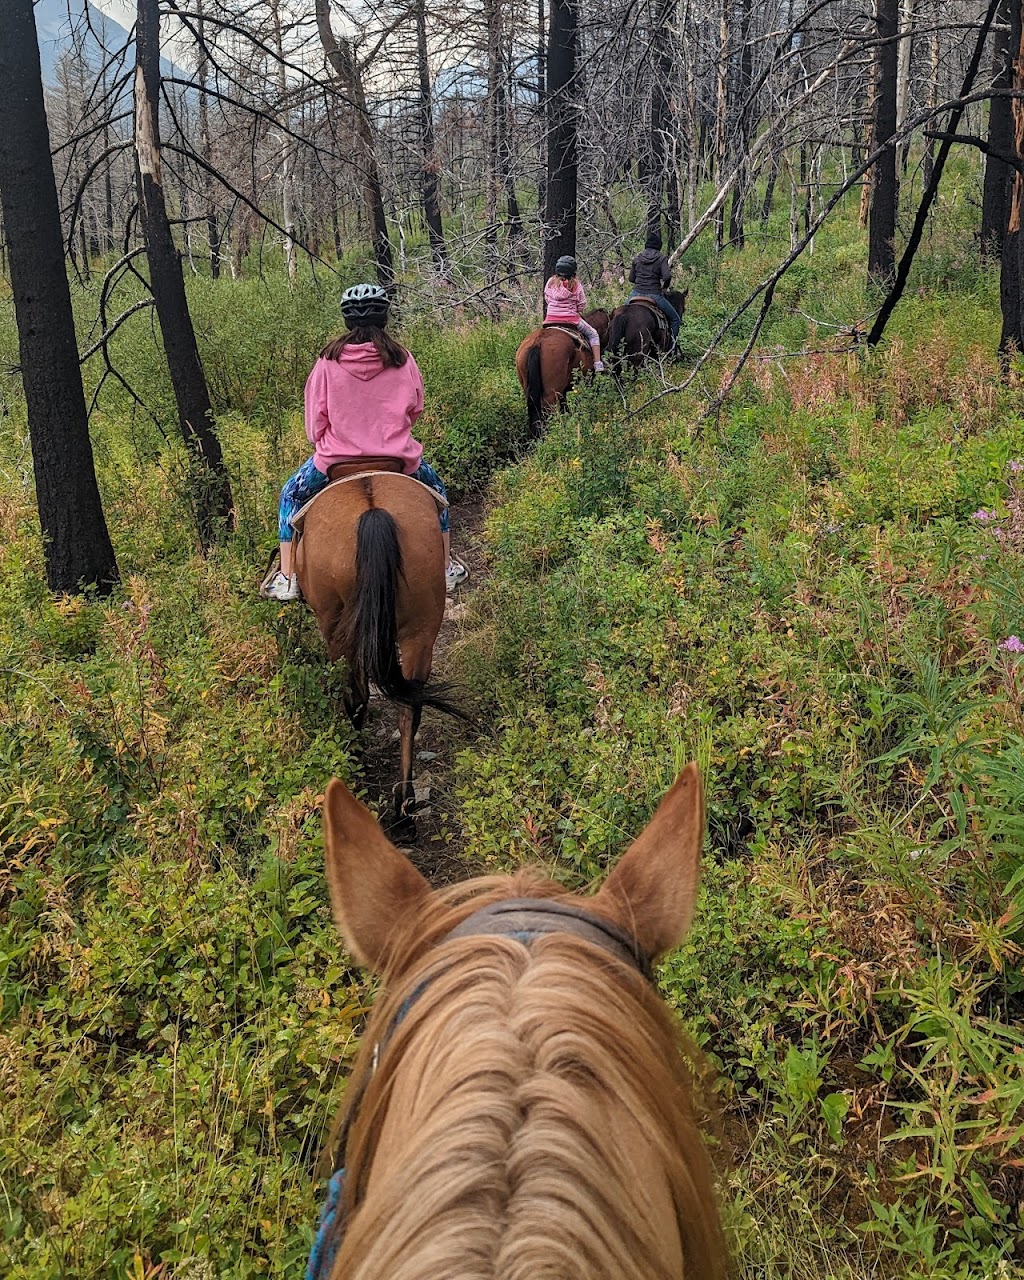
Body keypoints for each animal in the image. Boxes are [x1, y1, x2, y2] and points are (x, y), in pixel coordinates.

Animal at [294, 465, 458, 834]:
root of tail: (372, 510)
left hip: (338, 628)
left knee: (355, 696)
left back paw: (356, 765)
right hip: (421, 627)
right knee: (409, 709)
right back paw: (403, 812)